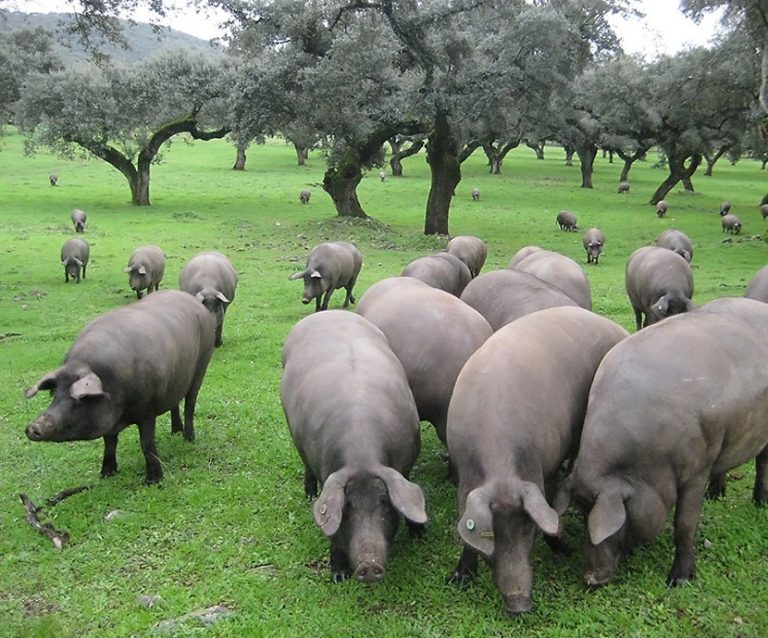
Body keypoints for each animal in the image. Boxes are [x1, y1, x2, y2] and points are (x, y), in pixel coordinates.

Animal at [24, 292, 216, 484]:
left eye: (79, 399)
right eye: (54, 394)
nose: (33, 427)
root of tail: (193, 300)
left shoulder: (147, 410)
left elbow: (147, 445)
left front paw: (153, 481)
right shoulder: (108, 420)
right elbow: (109, 444)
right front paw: (106, 475)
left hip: (202, 364)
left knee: (190, 404)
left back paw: (188, 439)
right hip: (175, 379)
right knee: (174, 404)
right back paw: (175, 432)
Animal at [280, 310, 428, 584]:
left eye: (384, 502)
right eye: (347, 506)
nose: (369, 566)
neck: (363, 457)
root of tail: (328, 312)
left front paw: (419, 534)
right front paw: (338, 577)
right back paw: (309, 495)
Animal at [448, 308, 628, 616]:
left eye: (528, 527)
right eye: (491, 533)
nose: (519, 603)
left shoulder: (547, 466)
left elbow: (551, 506)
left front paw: (564, 551)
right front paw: (458, 578)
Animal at [556, 300, 768, 592]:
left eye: (614, 519)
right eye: (582, 509)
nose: (591, 578)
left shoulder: (697, 469)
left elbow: (685, 524)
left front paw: (678, 581)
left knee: (763, 462)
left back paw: (759, 505)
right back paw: (716, 495)